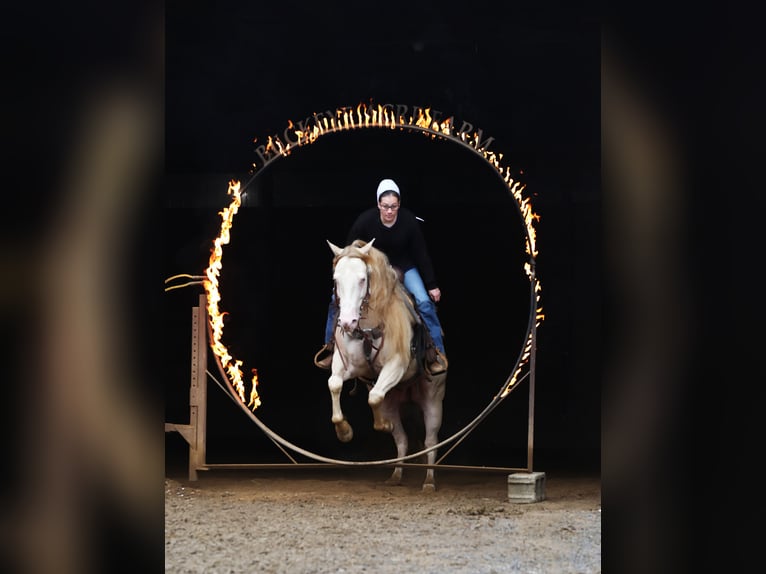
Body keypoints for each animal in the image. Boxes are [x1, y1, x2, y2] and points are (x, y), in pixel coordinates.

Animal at [326, 241, 448, 492]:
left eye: (363, 279)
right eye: (336, 279)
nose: (347, 322)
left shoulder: (396, 366)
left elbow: (373, 396)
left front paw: (381, 425)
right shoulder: (348, 365)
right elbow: (335, 384)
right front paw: (344, 431)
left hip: (433, 401)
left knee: (430, 441)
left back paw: (429, 481)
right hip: (394, 402)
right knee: (401, 439)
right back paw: (396, 475)